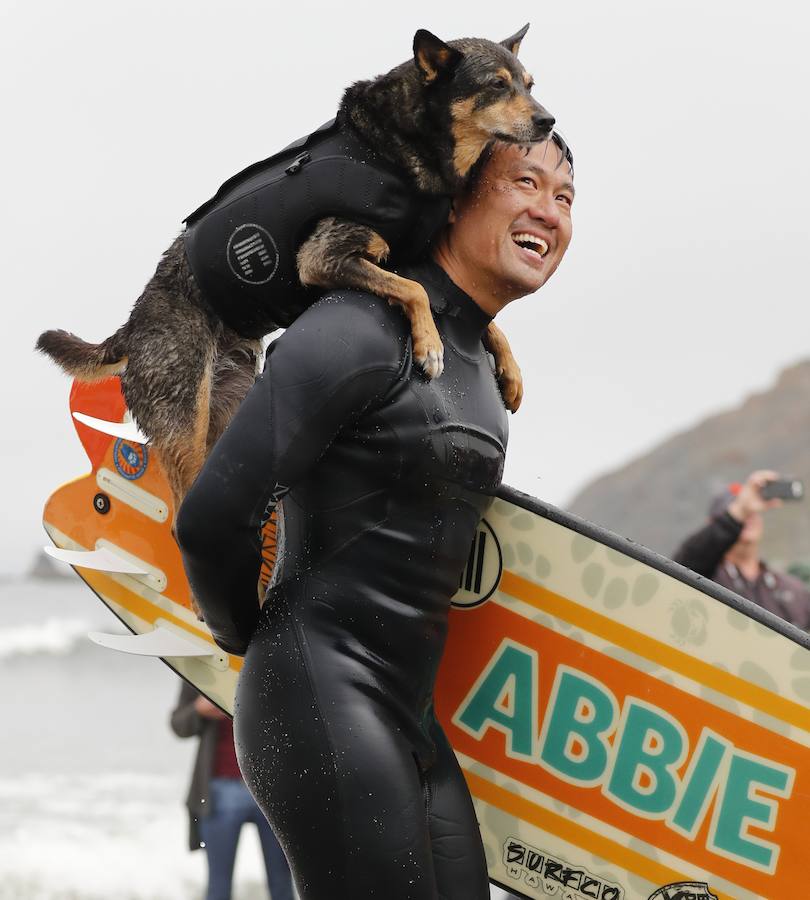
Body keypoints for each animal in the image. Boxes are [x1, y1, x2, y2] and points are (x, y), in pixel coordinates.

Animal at [34, 24, 552, 516]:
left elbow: (478, 315)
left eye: (529, 84)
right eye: (496, 84)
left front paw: (511, 372)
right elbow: (414, 291)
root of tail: (131, 329)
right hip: (183, 422)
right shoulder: (324, 258)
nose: (549, 121)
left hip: (230, 408)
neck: (397, 147)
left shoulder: (410, 262)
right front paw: (429, 345)